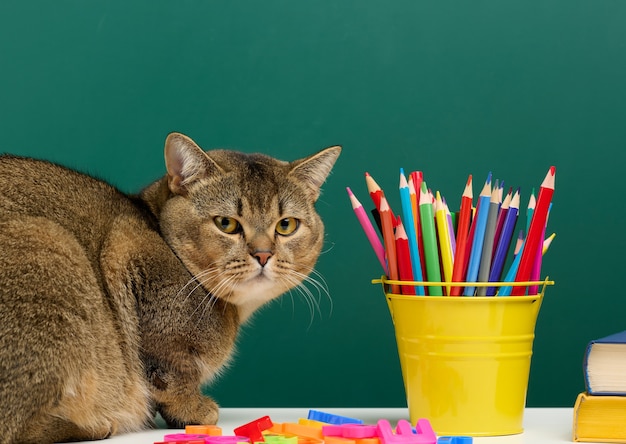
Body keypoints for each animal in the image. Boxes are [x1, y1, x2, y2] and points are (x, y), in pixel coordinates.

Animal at [0, 133, 338, 444]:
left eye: (286, 225)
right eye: (226, 223)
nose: (264, 254)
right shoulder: (127, 251)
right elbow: (169, 370)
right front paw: (191, 409)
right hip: (51, 247)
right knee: (15, 430)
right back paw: (95, 426)